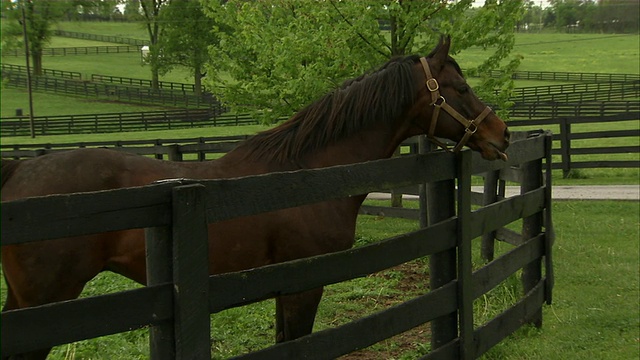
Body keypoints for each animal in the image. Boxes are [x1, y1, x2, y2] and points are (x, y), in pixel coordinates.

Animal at [0, 37, 510, 360]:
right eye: (461, 88)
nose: (501, 134)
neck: (306, 174)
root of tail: (21, 169)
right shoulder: (304, 283)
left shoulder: (282, 286)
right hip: (45, 305)